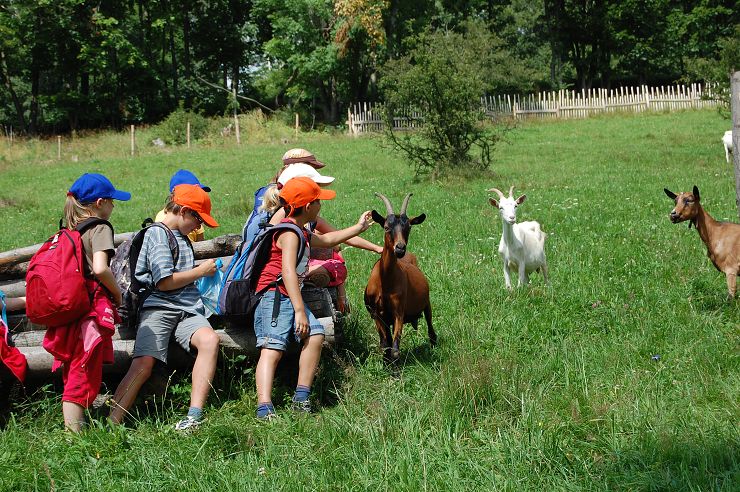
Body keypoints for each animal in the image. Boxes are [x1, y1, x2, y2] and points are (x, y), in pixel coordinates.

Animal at [364, 193, 436, 361]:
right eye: (386, 227)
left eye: (408, 227)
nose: (400, 248)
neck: (385, 282)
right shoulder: (377, 314)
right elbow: (386, 346)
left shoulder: (399, 311)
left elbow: (395, 349)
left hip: (427, 304)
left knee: (431, 330)